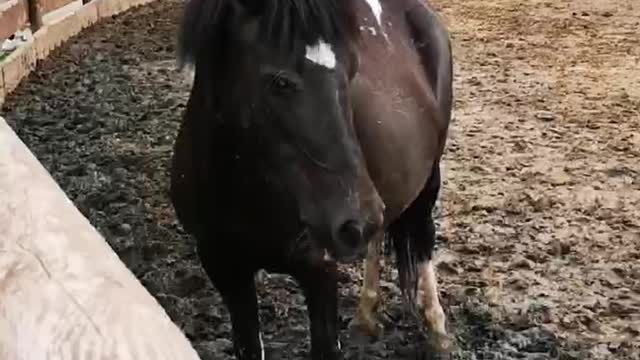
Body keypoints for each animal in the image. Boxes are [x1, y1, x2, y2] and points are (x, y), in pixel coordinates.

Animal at [168, 0, 452, 358]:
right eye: (280, 82)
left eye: (351, 71)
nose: (354, 220)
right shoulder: (225, 269)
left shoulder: (319, 273)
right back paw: (366, 315)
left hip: (427, 179)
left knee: (422, 237)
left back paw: (437, 329)